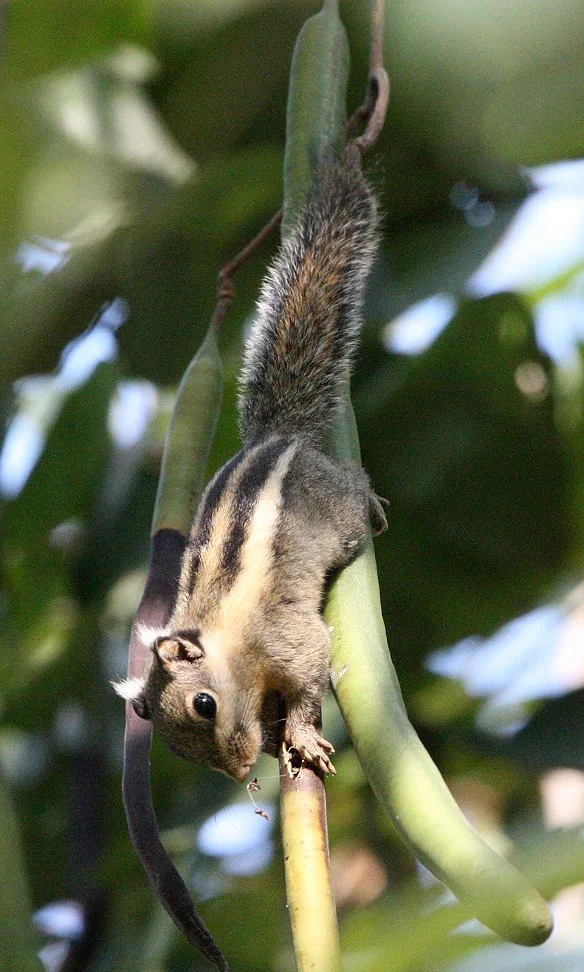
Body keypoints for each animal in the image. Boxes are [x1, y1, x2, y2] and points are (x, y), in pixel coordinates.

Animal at [115, 150, 386, 781]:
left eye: (204, 704)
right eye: (178, 749)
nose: (240, 772)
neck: (227, 640)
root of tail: (278, 437)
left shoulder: (292, 639)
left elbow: (311, 678)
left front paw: (303, 734)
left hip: (335, 506)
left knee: (354, 490)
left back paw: (371, 499)